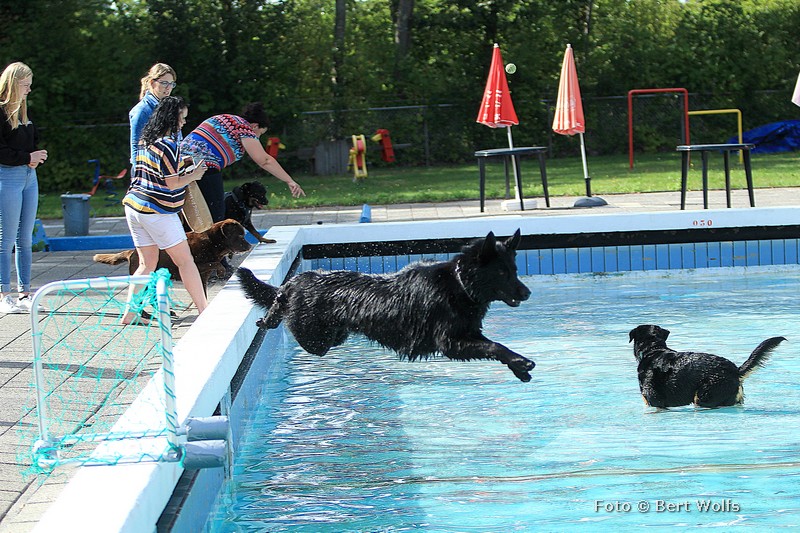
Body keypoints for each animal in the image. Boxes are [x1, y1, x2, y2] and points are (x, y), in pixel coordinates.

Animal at [94, 219, 251, 294]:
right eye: (240, 235)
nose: (250, 246)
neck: (213, 242)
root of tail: (132, 252)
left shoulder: (202, 278)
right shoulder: (196, 265)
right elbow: (216, 263)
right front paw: (221, 272)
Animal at [237, 230, 535, 382]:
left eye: (514, 270)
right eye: (502, 273)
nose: (527, 292)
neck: (460, 284)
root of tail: (298, 280)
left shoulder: (468, 335)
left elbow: (494, 345)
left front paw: (517, 366)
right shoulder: (450, 343)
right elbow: (494, 347)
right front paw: (519, 362)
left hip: (335, 335)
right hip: (316, 339)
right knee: (282, 305)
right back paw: (270, 317)